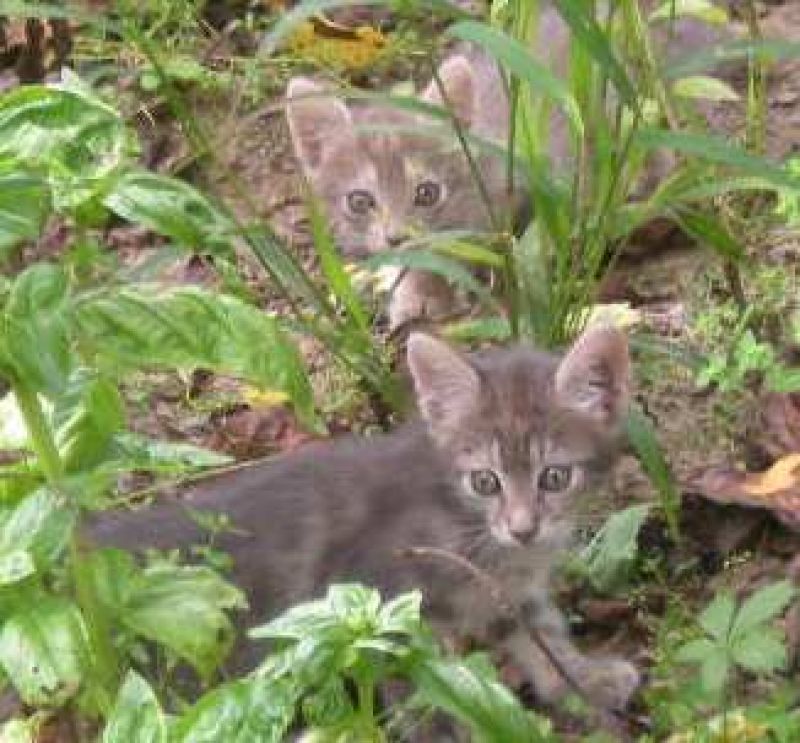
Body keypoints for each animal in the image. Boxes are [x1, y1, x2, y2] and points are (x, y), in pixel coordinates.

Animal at [86, 328, 636, 712]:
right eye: (485, 482)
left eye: (554, 477)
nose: (524, 529)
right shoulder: (379, 608)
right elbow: (426, 699)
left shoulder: (505, 590)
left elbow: (540, 632)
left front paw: (583, 680)